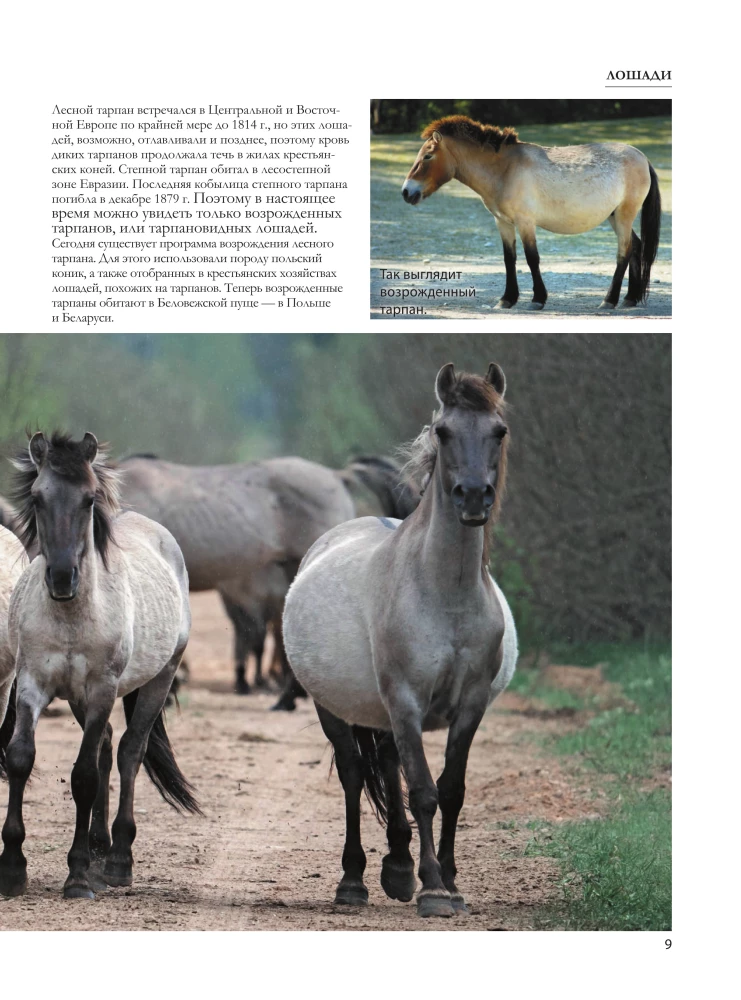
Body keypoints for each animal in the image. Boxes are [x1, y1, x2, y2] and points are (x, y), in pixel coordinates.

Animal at [0, 432, 200, 901]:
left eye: (89, 499)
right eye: (37, 497)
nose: (61, 578)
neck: (72, 616)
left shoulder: (101, 691)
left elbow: (85, 776)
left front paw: (76, 876)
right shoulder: (32, 685)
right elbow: (20, 758)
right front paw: (12, 869)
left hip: (158, 680)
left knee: (129, 751)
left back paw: (117, 860)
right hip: (78, 699)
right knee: (109, 744)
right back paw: (98, 848)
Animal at [283, 364, 518, 918]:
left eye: (498, 431)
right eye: (444, 431)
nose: (473, 497)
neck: (446, 593)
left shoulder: (470, 704)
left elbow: (451, 790)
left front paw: (450, 882)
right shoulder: (407, 702)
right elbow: (424, 792)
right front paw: (433, 890)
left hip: (381, 712)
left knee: (388, 765)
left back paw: (397, 868)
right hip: (334, 708)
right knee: (354, 775)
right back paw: (354, 881)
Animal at [401, 115, 661, 311]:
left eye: (428, 155)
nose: (406, 192)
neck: (504, 169)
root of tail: (642, 157)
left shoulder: (525, 222)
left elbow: (531, 258)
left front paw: (537, 299)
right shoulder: (503, 222)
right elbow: (509, 259)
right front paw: (507, 299)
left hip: (625, 215)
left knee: (624, 252)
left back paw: (609, 300)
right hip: (615, 216)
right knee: (636, 247)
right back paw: (629, 299)